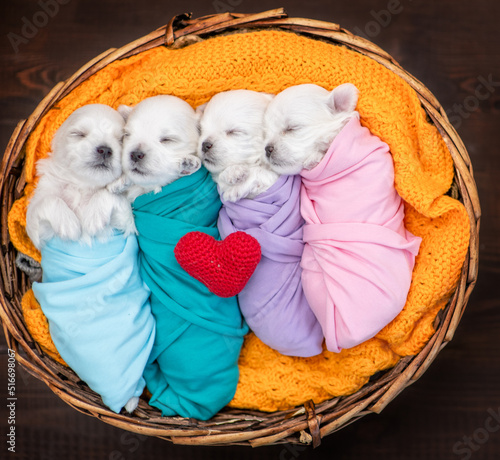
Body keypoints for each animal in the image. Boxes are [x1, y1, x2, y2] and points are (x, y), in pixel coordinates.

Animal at [26, 104, 136, 250]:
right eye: (79, 134)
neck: (83, 184)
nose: (105, 150)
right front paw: (69, 224)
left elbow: (109, 194)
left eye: (121, 140)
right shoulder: (37, 229)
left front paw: (94, 217)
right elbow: (49, 200)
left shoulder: (126, 222)